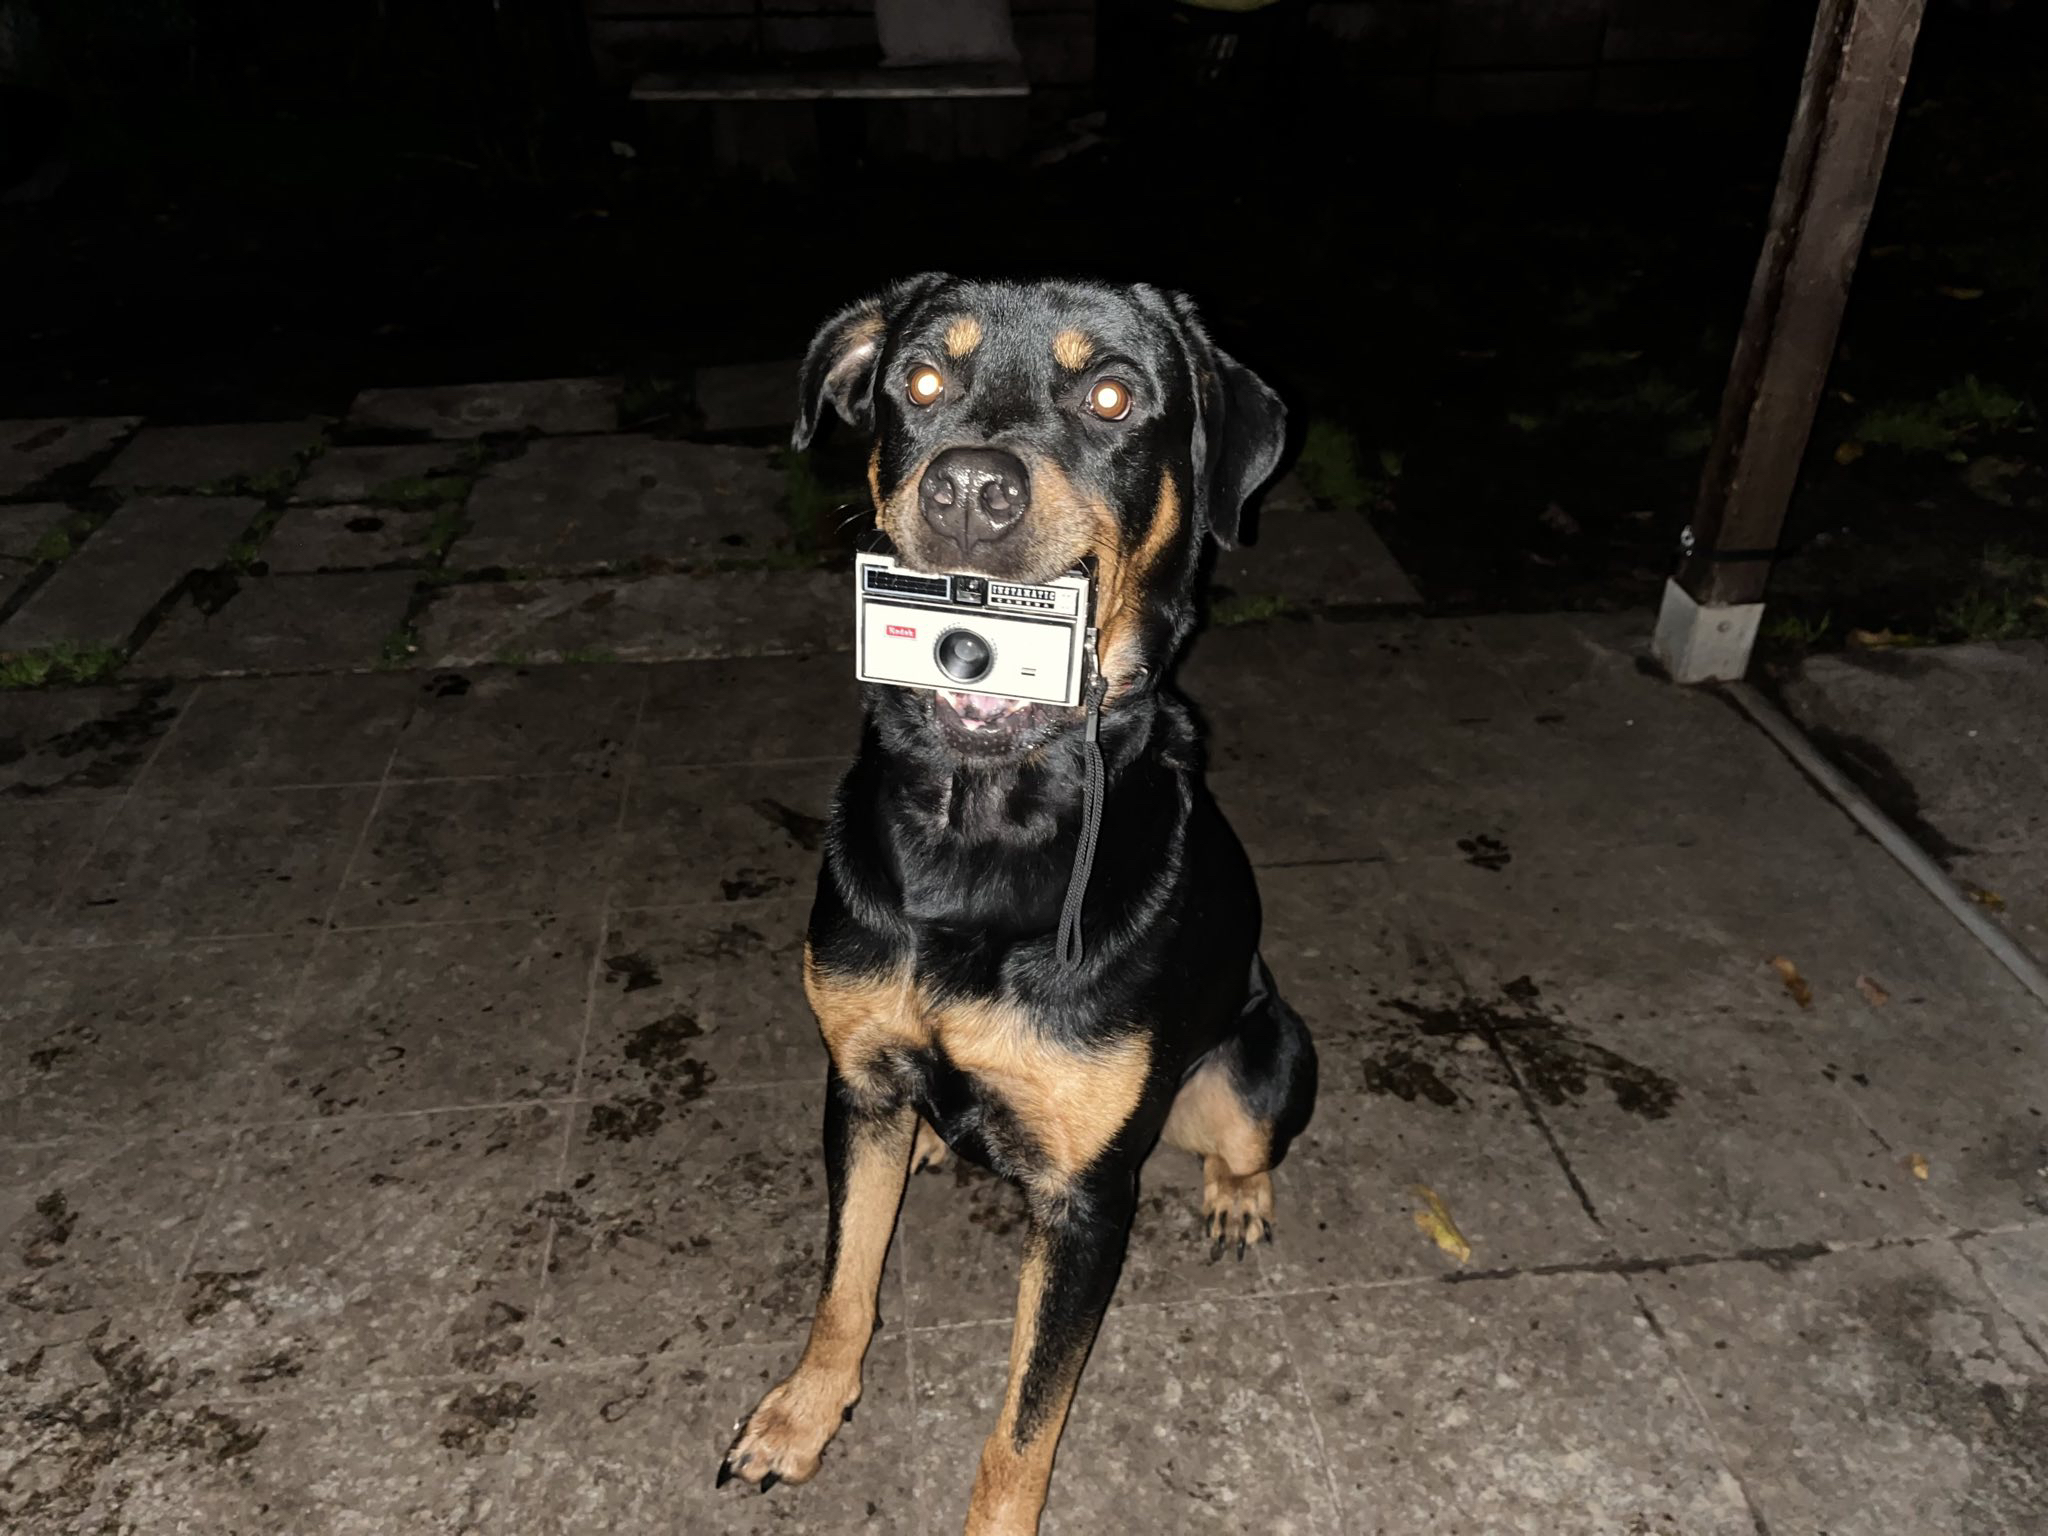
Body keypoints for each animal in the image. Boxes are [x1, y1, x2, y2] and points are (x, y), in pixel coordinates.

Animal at [720, 280, 1318, 1536]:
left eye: (1113, 396)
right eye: (919, 382)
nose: (965, 490)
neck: (983, 824)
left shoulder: (1087, 1203)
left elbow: (1024, 1423)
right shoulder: (857, 1082)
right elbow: (844, 1286)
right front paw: (802, 1417)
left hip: (1267, 1052)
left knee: (1245, 1137)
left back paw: (1236, 1197)